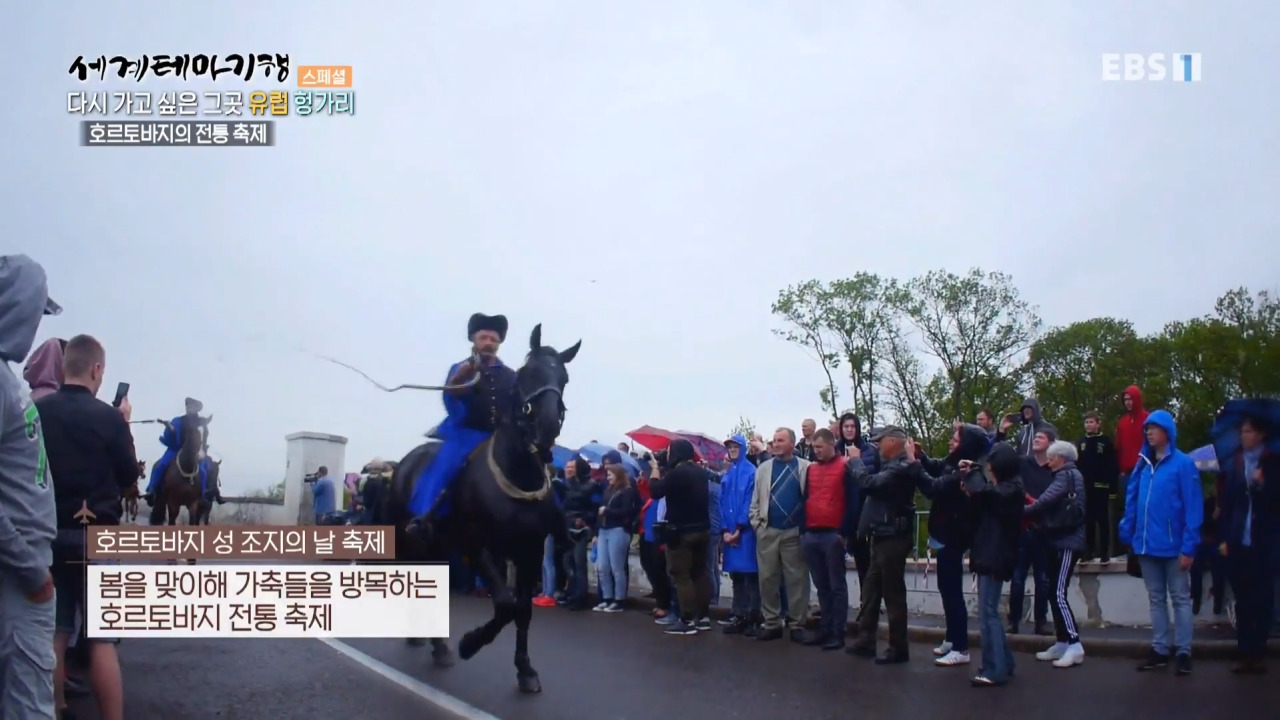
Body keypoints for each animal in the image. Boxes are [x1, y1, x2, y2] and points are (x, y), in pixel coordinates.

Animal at [378, 322, 581, 691]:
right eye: (528, 373)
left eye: (564, 378)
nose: (546, 426)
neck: (518, 475)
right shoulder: (479, 546)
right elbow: (504, 606)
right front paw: (470, 643)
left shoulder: (529, 552)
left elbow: (522, 610)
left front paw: (525, 669)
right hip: (411, 540)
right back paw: (431, 643)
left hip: (439, 547)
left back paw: (436, 646)